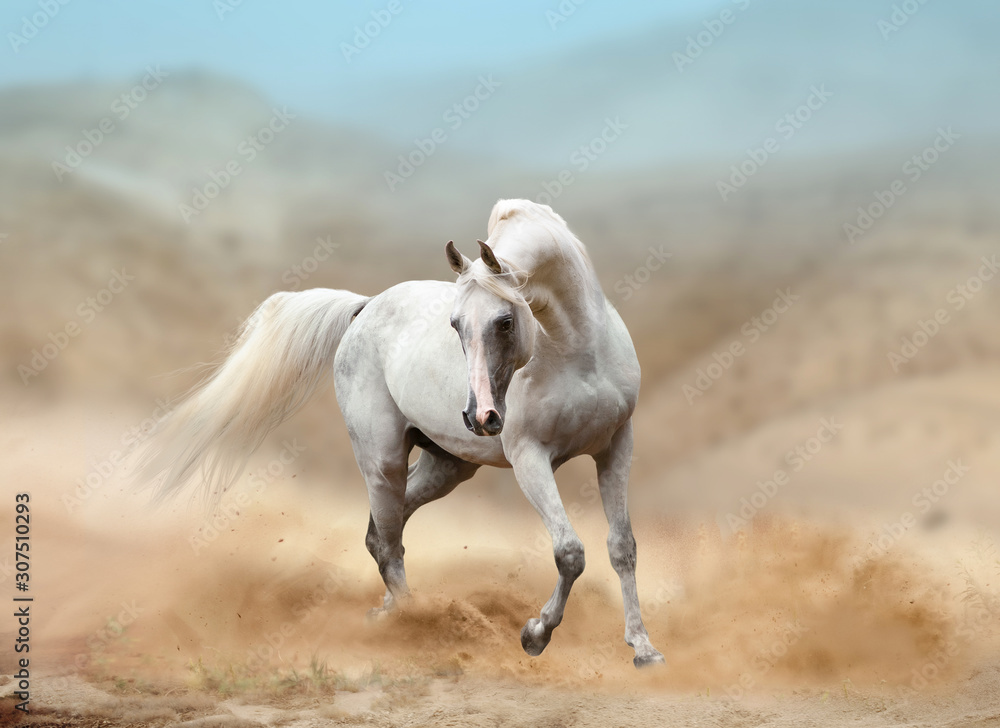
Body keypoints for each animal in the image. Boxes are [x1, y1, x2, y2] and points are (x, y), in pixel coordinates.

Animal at [139, 199, 664, 664]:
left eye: (505, 320)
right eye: (455, 324)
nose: (479, 417)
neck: (576, 352)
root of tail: (365, 307)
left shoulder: (616, 447)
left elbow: (623, 548)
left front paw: (643, 648)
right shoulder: (530, 458)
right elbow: (569, 552)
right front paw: (535, 634)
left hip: (446, 467)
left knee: (382, 531)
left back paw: (390, 612)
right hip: (383, 459)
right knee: (388, 540)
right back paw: (413, 624)